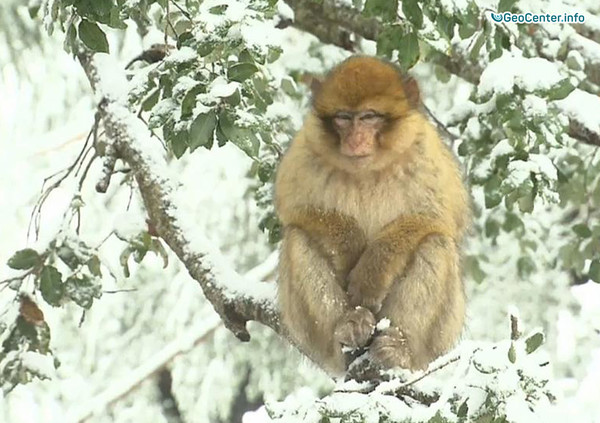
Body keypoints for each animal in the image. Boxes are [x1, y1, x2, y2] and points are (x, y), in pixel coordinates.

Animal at [274, 55, 472, 374]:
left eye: (369, 117)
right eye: (343, 117)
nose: (355, 139)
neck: (367, 171)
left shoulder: (426, 153)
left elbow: (438, 219)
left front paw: (371, 274)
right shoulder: (305, 152)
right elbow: (296, 210)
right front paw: (350, 246)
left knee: (436, 243)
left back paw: (399, 348)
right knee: (296, 237)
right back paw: (349, 324)